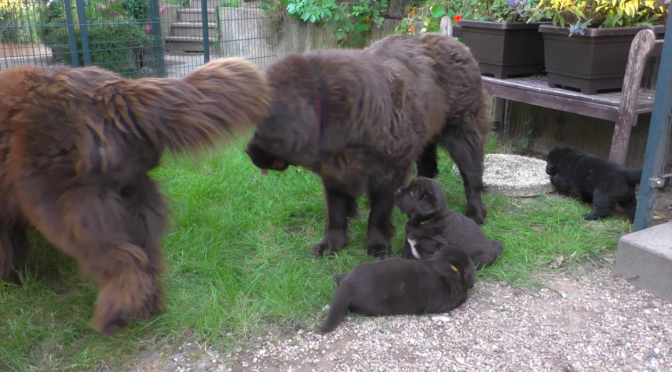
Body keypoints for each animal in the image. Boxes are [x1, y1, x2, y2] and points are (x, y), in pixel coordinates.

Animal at [2, 58, 272, 334]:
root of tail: (114, 94)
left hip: (65, 207)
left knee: (124, 261)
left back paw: (116, 317)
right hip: (135, 196)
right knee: (147, 259)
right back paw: (149, 307)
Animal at [244, 32, 490, 258]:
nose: (247, 151)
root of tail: (454, 41)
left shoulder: (390, 172)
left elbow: (378, 214)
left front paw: (378, 245)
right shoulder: (334, 172)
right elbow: (335, 211)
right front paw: (331, 244)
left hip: (463, 133)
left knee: (471, 175)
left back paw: (475, 213)